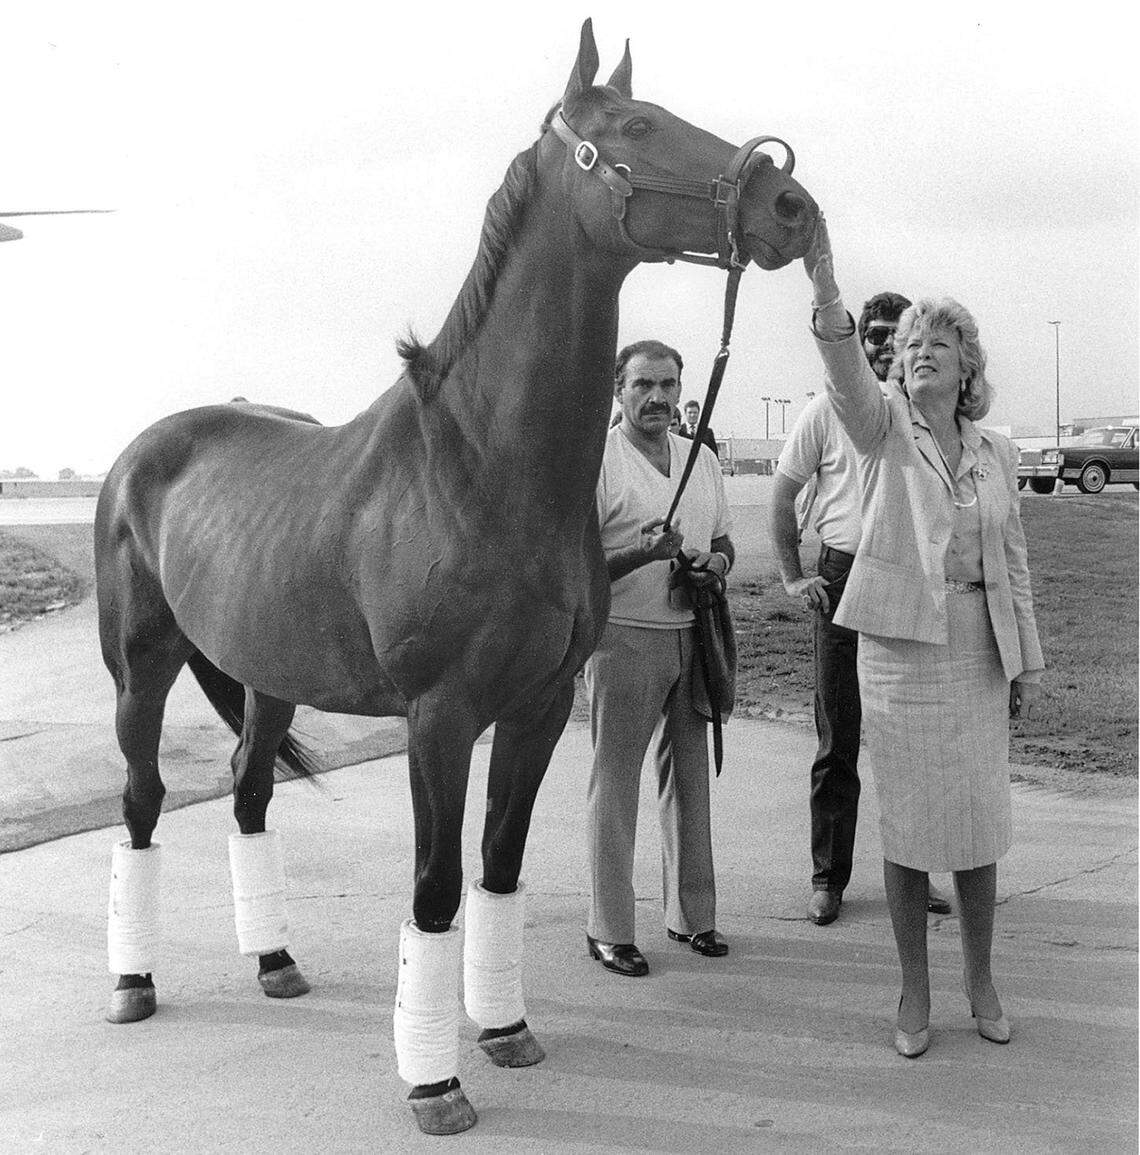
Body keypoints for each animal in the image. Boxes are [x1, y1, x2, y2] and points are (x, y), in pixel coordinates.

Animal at [93, 19, 817, 1136]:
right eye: (637, 125)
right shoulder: (439, 720)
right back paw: (133, 985)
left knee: (248, 795)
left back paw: (275, 961)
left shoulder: (537, 707)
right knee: (140, 801)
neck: (480, 468)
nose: (788, 203)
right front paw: (435, 1085)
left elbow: (498, 869)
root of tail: (141, 453)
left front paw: (505, 1030)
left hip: (264, 676)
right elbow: (435, 890)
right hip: (141, 669)